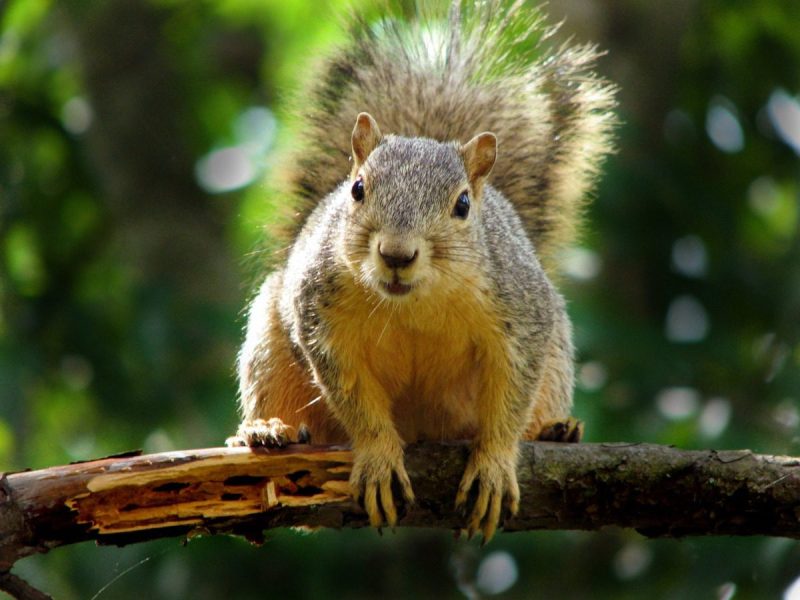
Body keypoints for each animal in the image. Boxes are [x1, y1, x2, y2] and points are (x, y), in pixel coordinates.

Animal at [227, 0, 616, 541]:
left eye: (463, 205)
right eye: (357, 190)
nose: (396, 254)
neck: (415, 303)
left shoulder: (523, 314)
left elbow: (511, 398)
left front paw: (495, 465)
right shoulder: (321, 317)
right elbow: (354, 397)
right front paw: (378, 459)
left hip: (556, 354)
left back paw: (555, 429)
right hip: (269, 344)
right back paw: (265, 430)